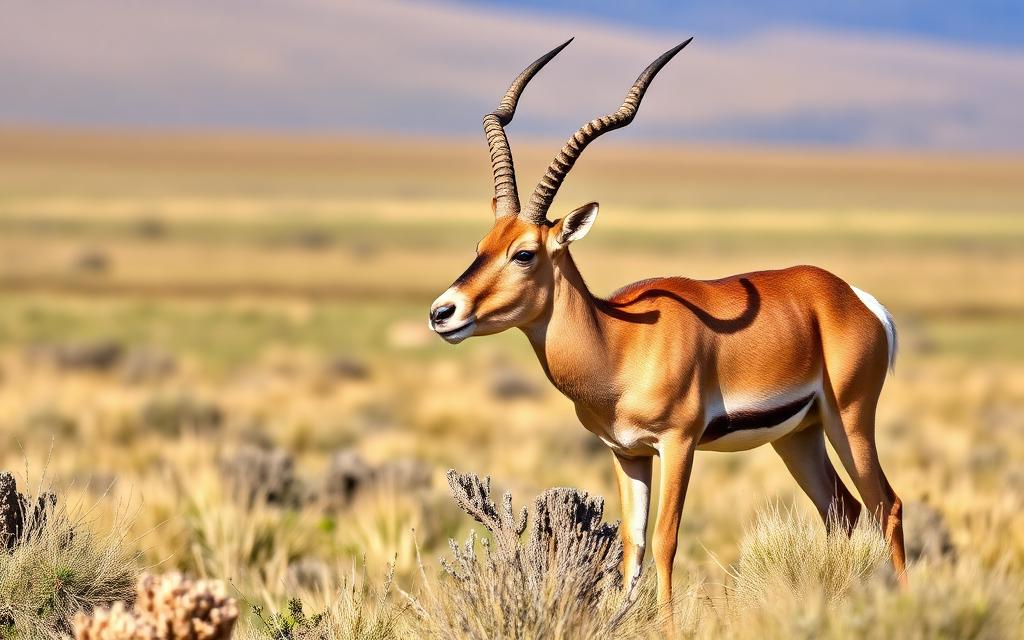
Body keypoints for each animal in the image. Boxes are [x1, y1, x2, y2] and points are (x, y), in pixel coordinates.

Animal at [428, 38, 907, 615]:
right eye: (481, 246)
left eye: (524, 253)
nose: (443, 312)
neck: (619, 344)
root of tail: (856, 299)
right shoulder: (626, 452)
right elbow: (632, 543)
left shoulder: (677, 443)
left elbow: (665, 540)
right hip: (799, 435)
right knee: (843, 510)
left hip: (850, 421)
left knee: (887, 505)